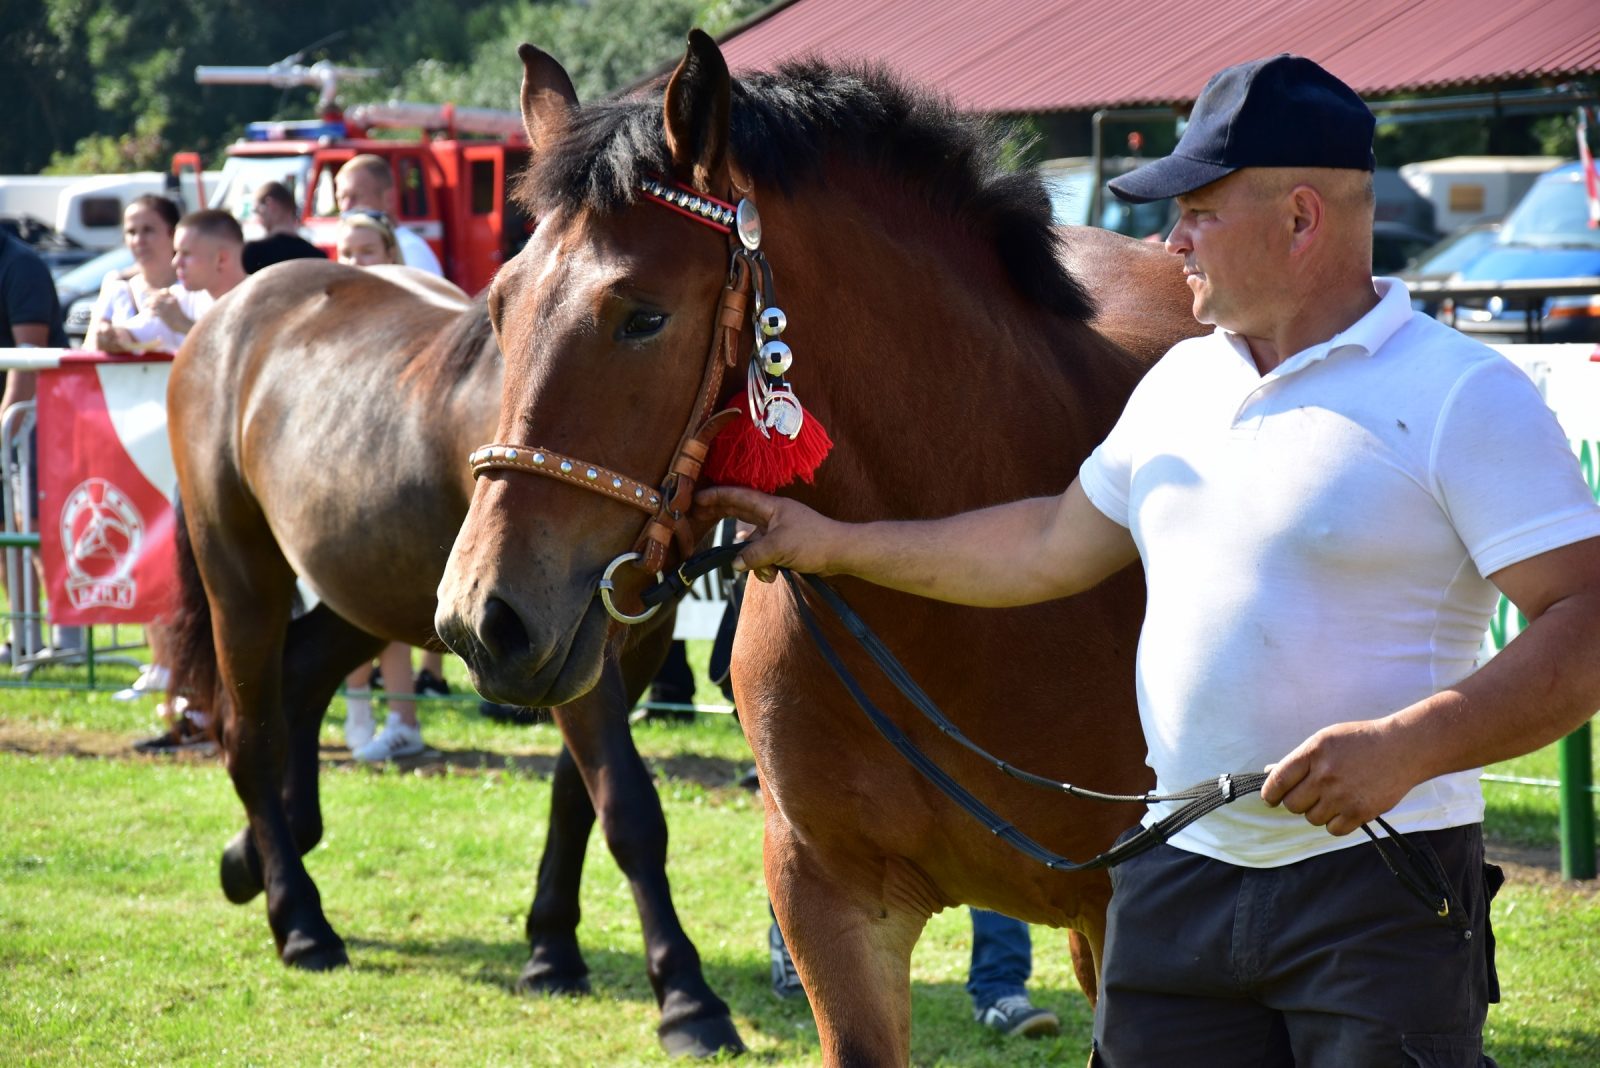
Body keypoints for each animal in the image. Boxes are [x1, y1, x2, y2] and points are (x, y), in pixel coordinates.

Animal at [164, 259, 742, 1061]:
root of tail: (227, 313)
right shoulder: (554, 637)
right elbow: (626, 806)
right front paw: (687, 997)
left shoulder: (614, 643)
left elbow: (578, 794)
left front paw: (551, 949)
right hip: (242, 572)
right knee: (249, 735)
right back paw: (302, 923)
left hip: (382, 589)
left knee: (301, 678)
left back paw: (256, 853)